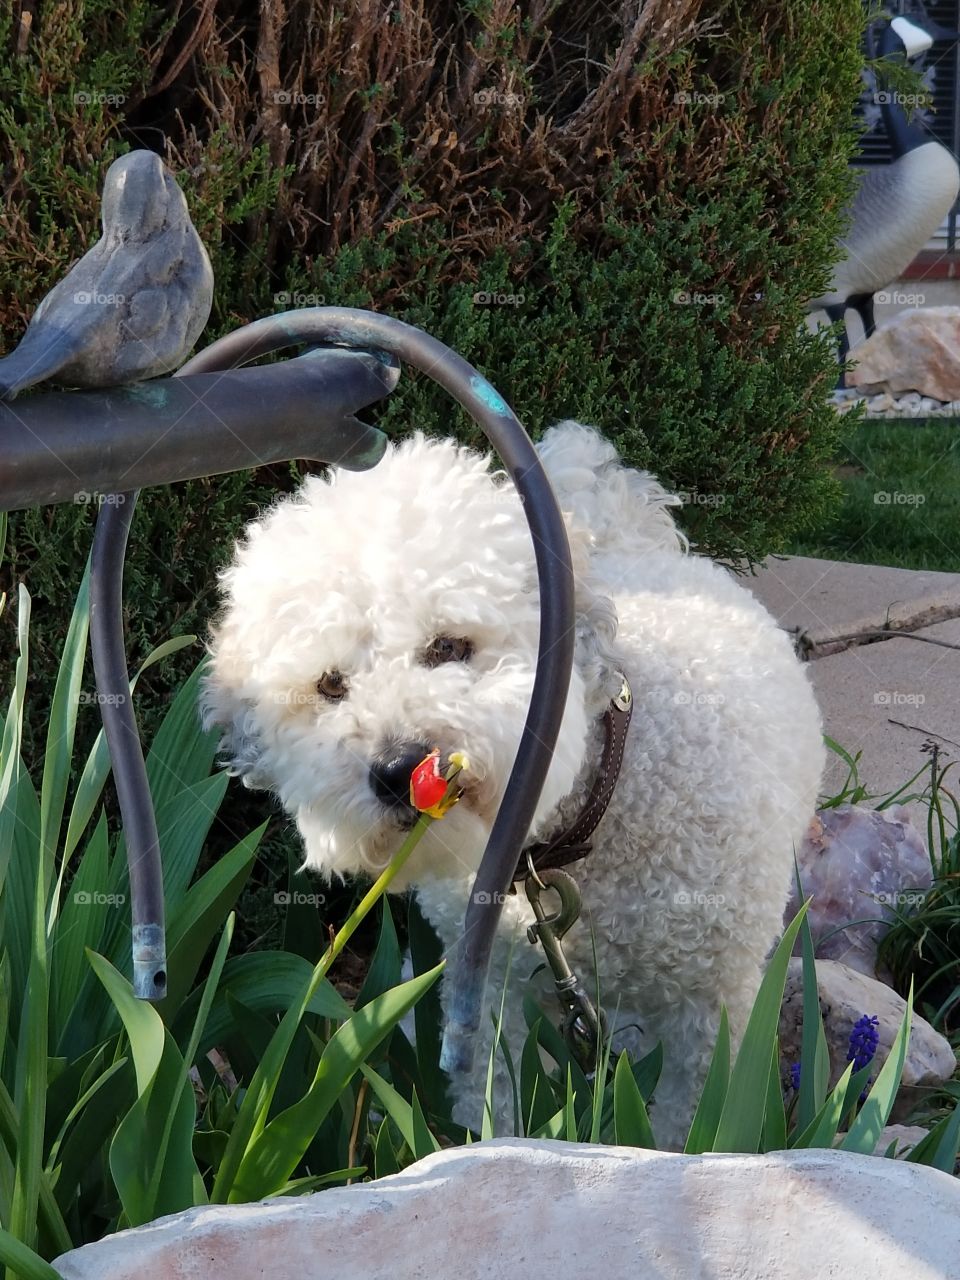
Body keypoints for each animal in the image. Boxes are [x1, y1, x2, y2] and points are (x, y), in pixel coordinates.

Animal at [204, 422, 829, 1152]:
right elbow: (494, 1106)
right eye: (331, 685)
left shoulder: (714, 1013)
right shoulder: (487, 988)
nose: (397, 769)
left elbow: (689, 1132)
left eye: (449, 646)